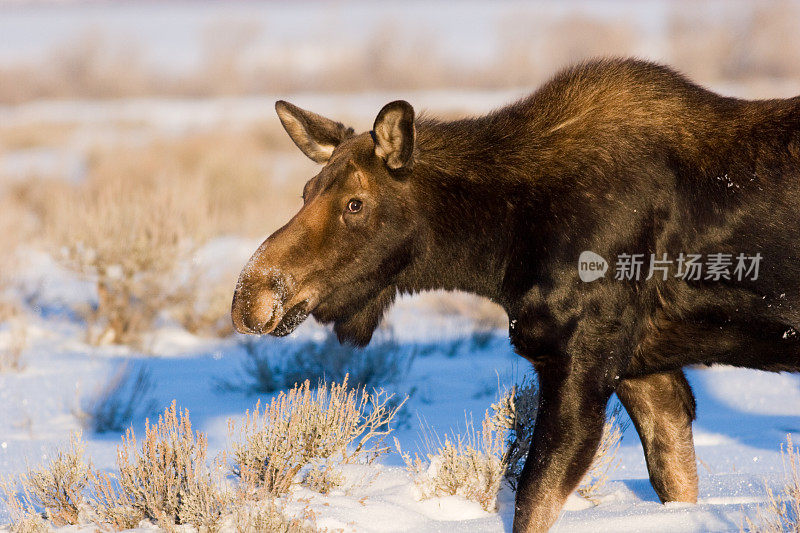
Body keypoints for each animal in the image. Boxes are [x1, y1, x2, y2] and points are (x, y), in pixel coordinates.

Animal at [231, 57, 800, 528]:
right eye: (306, 192)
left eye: (355, 203)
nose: (251, 297)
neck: (498, 250)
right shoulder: (645, 370)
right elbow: (676, 482)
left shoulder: (578, 363)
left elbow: (532, 500)